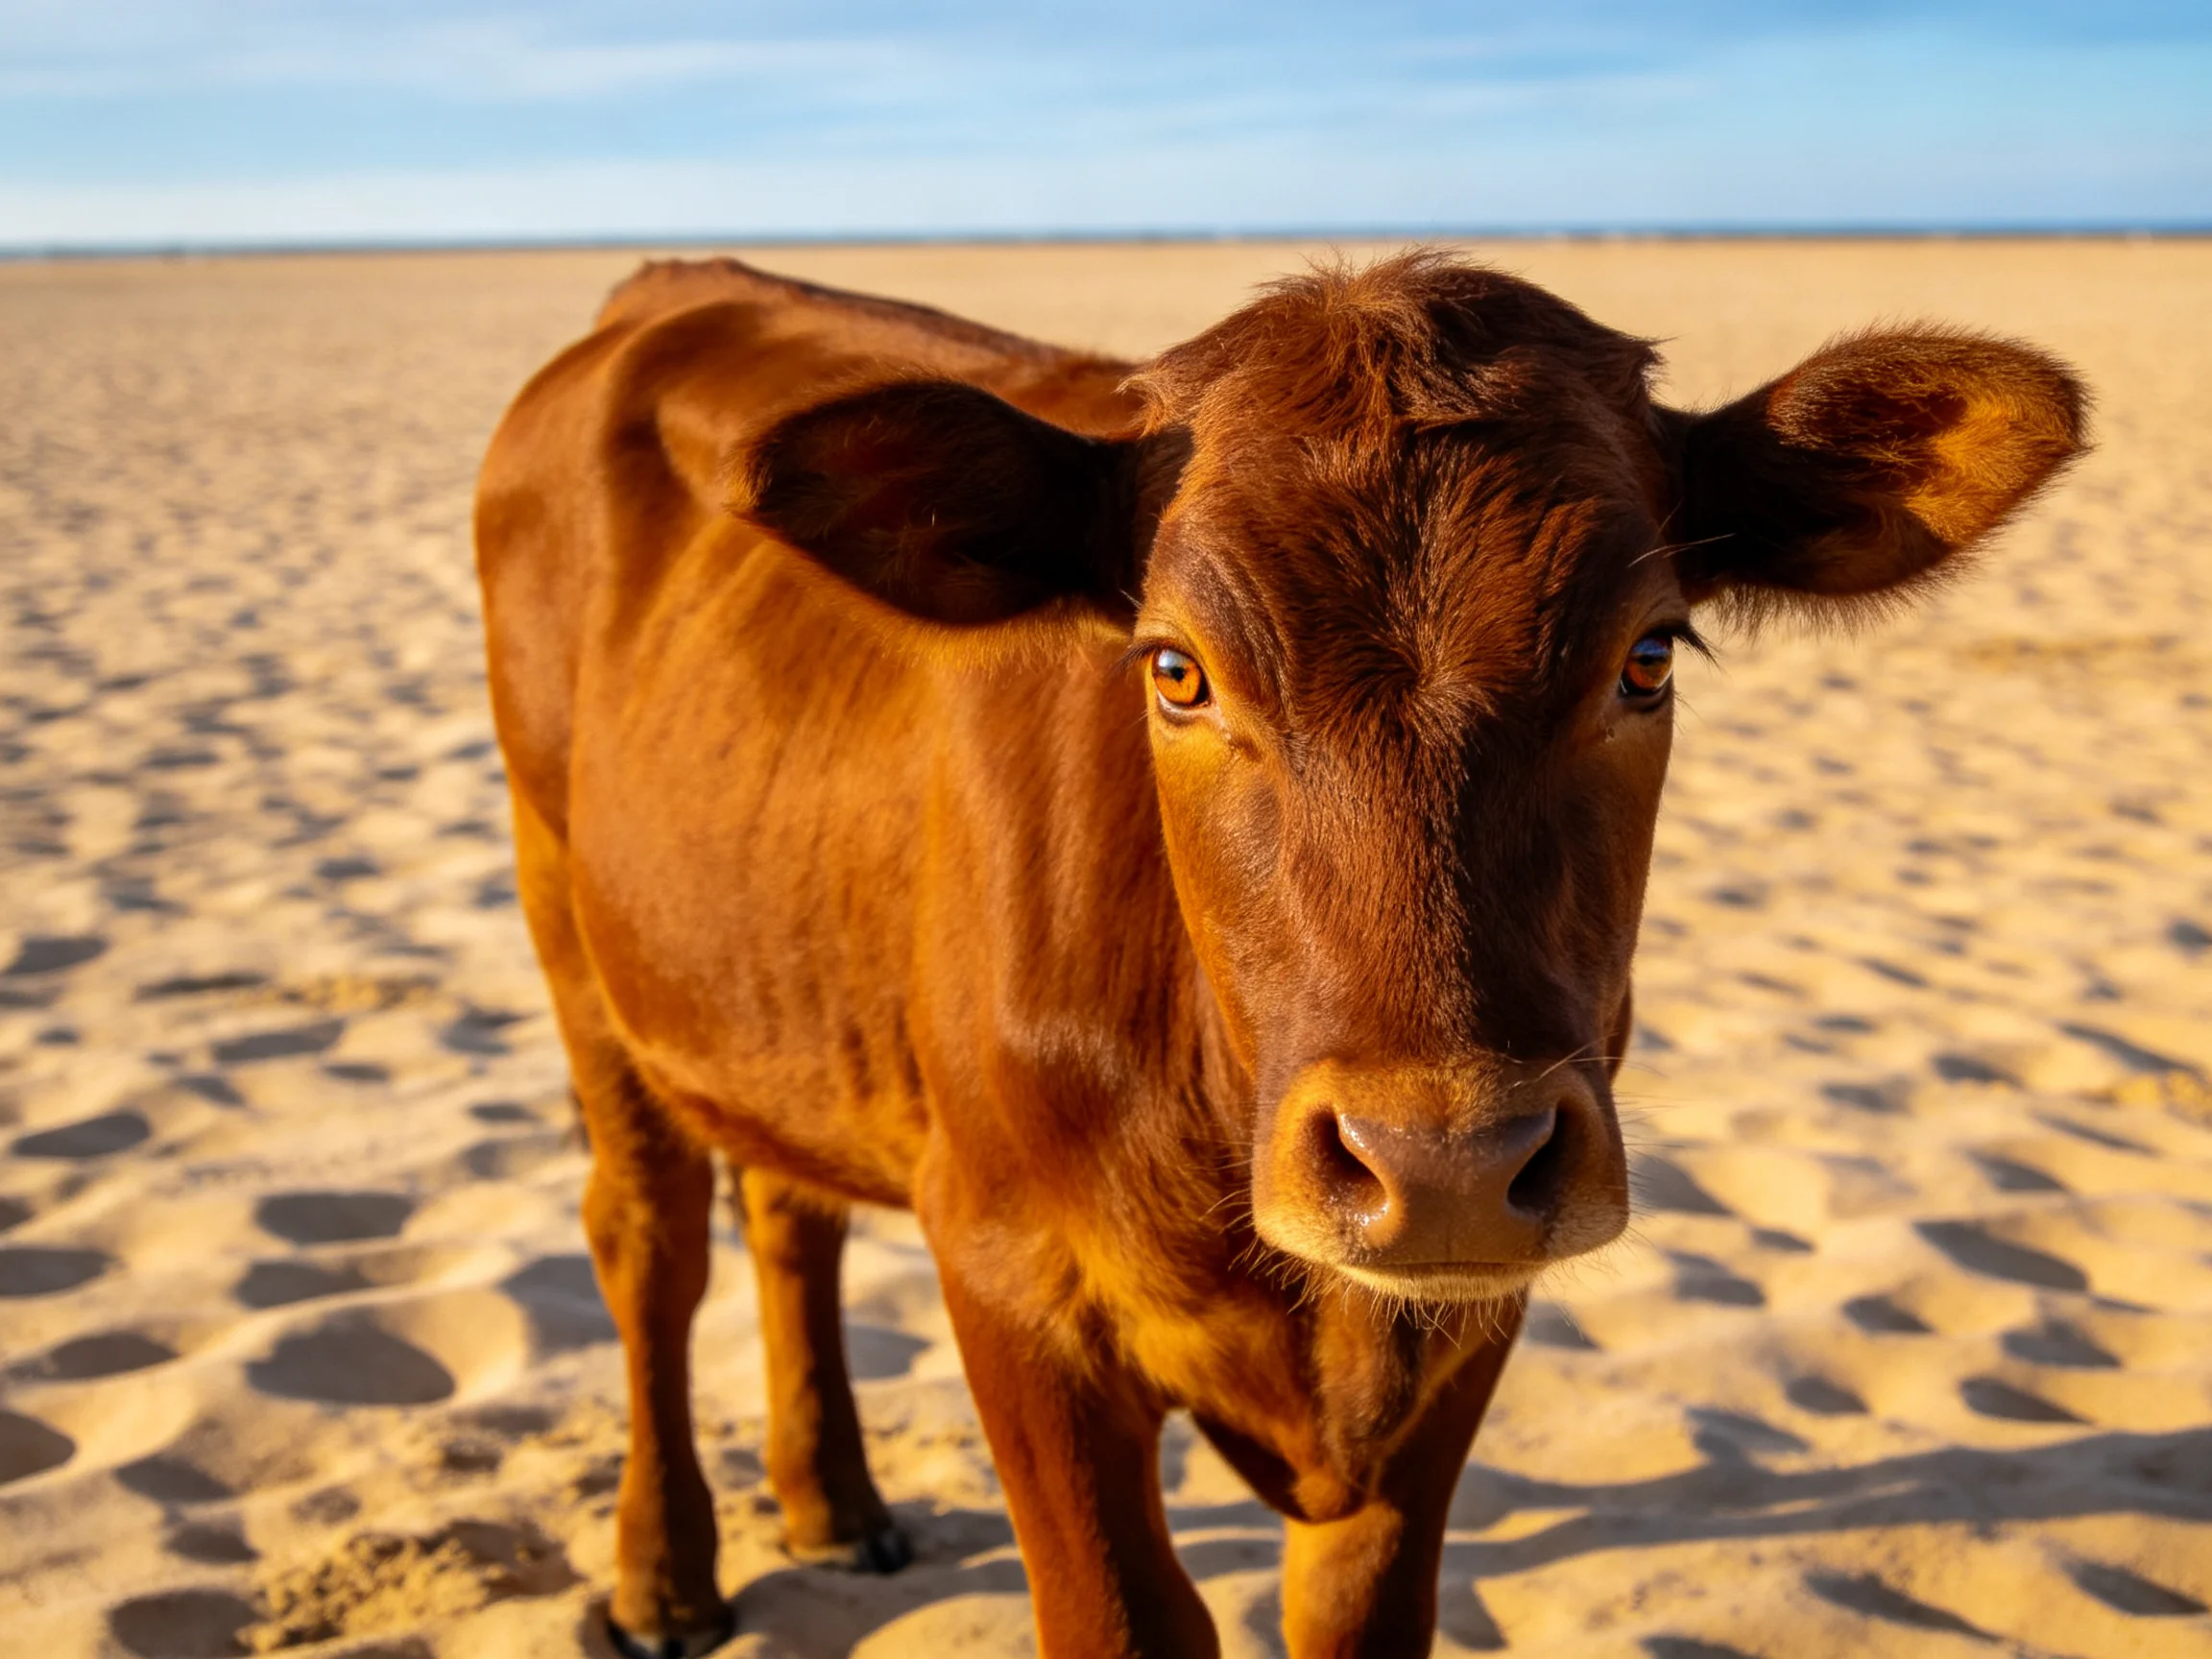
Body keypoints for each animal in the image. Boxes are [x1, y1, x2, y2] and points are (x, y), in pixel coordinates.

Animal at [474, 250, 2084, 1658]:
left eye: (1649, 658)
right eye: (1176, 669)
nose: (1442, 1162)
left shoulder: (1449, 1348)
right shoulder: (1005, 1270)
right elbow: (1124, 1619)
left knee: (784, 1205)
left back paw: (832, 1504)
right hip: (565, 921)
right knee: (650, 1239)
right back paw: (664, 1578)